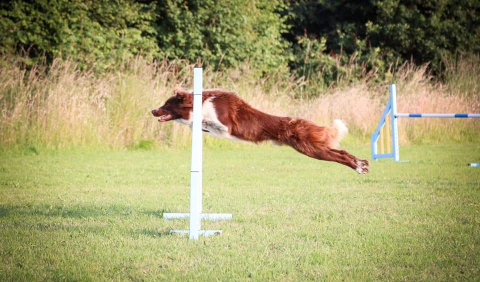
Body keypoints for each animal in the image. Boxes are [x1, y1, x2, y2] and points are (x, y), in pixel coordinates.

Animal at [152, 88, 370, 173]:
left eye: (166, 104)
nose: (152, 110)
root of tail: (304, 122)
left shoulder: (224, 126)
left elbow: (204, 121)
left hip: (310, 148)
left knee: (339, 155)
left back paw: (358, 166)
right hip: (314, 147)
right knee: (341, 151)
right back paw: (362, 164)